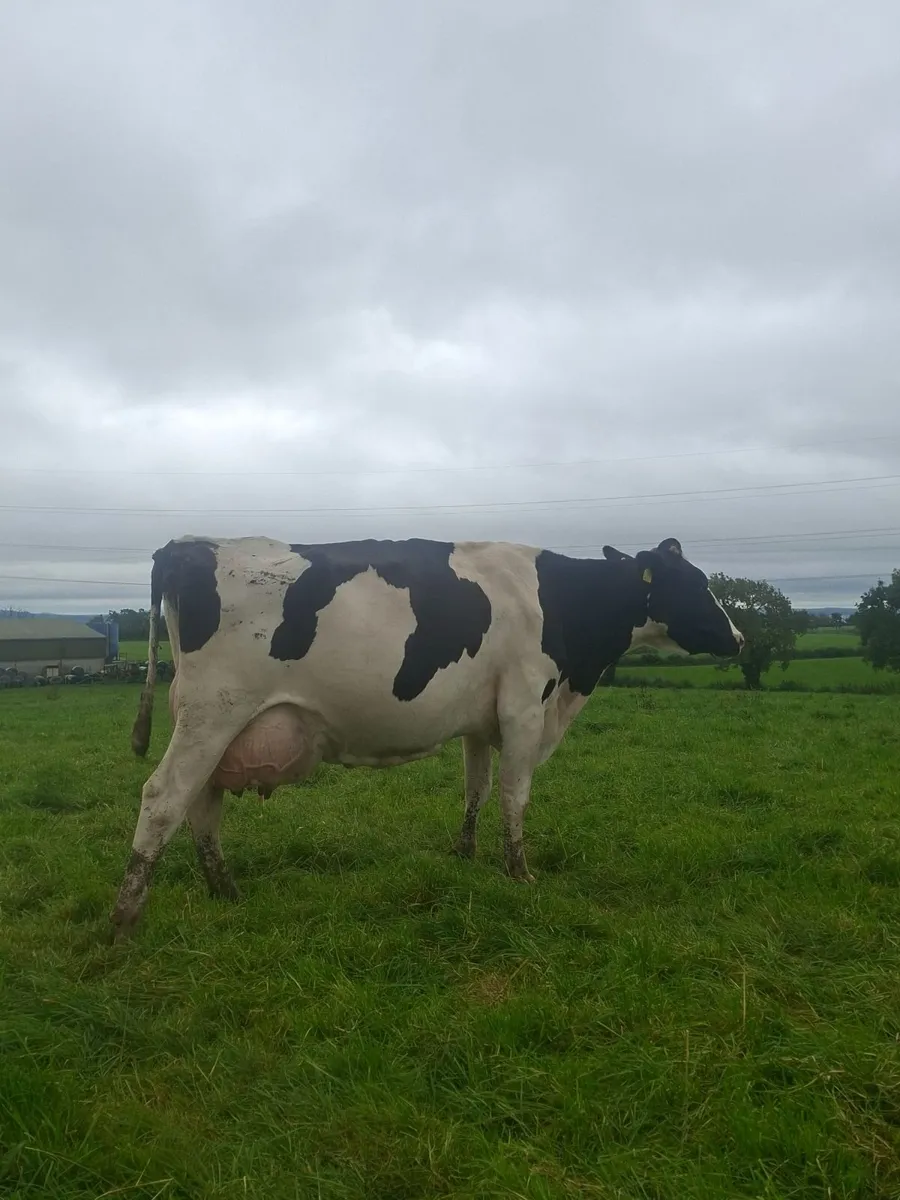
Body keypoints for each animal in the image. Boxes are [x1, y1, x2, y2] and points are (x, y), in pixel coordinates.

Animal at [110, 534, 743, 937]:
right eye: (695, 584)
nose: (738, 637)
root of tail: (193, 543)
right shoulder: (524, 706)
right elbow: (515, 795)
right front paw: (519, 872)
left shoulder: (481, 720)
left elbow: (476, 789)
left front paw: (465, 855)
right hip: (213, 713)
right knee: (163, 798)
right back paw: (124, 920)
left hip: (217, 724)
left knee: (202, 804)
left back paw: (226, 891)